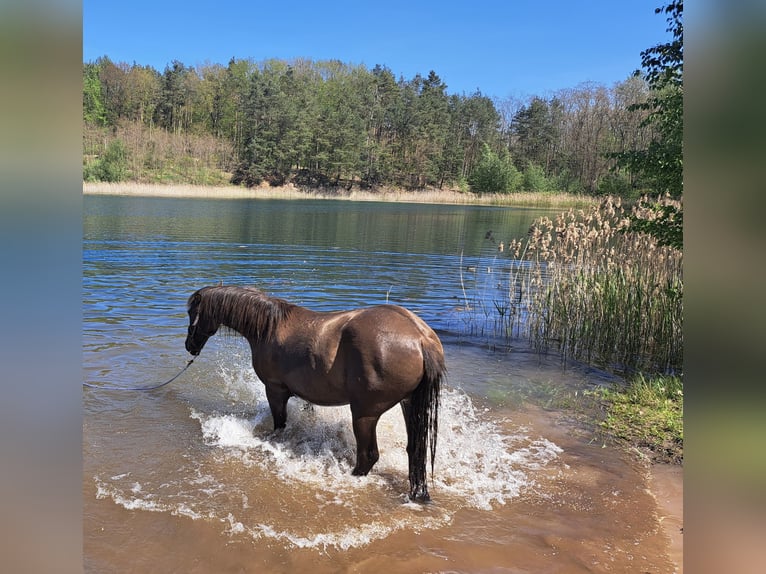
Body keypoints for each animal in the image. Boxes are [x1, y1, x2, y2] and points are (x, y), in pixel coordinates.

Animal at [184, 286, 448, 502]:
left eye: (192, 313)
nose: (190, 346)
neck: (269, 327)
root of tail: (420, 338)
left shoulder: (275, 390)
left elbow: (279, 425)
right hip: (409, 405)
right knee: (415, 450)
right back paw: (418, 494)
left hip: (365, 414)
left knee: (368, 455)